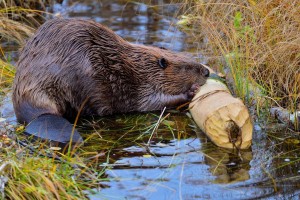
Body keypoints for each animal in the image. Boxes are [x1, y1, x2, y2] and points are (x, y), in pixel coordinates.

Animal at [11, 18, 209, 144]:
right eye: (189, 67)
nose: (206, 71)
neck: (140, 67)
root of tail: (39, 114)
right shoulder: (140, 88)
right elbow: (153, 102)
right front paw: (192, 91)